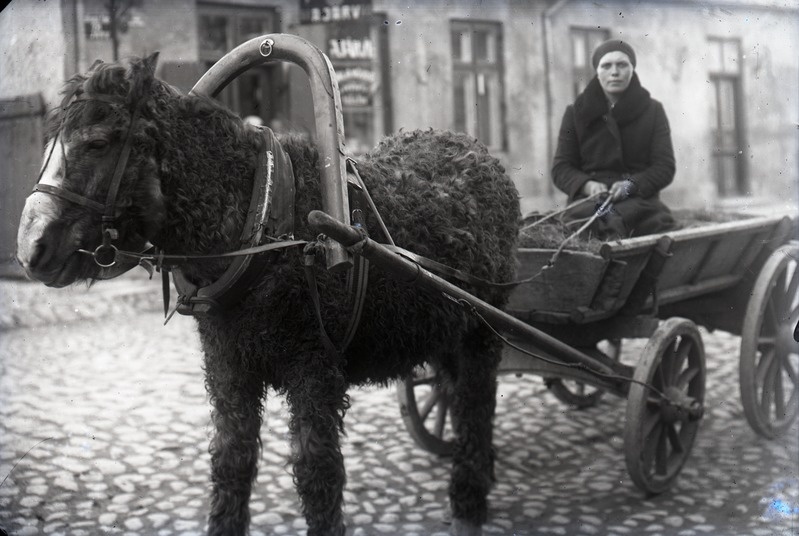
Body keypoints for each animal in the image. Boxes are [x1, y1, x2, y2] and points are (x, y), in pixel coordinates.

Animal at [17, 53, 524, 536]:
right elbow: (231, 460)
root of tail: (477, 151)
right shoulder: (228, 366)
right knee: (454, 398)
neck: (262, 219)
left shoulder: (315, 370)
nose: (29, 248)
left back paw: (469, 505)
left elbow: (318, 474)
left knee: (475, 408)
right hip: (445, 335)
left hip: (482, 335)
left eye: (98, 142)